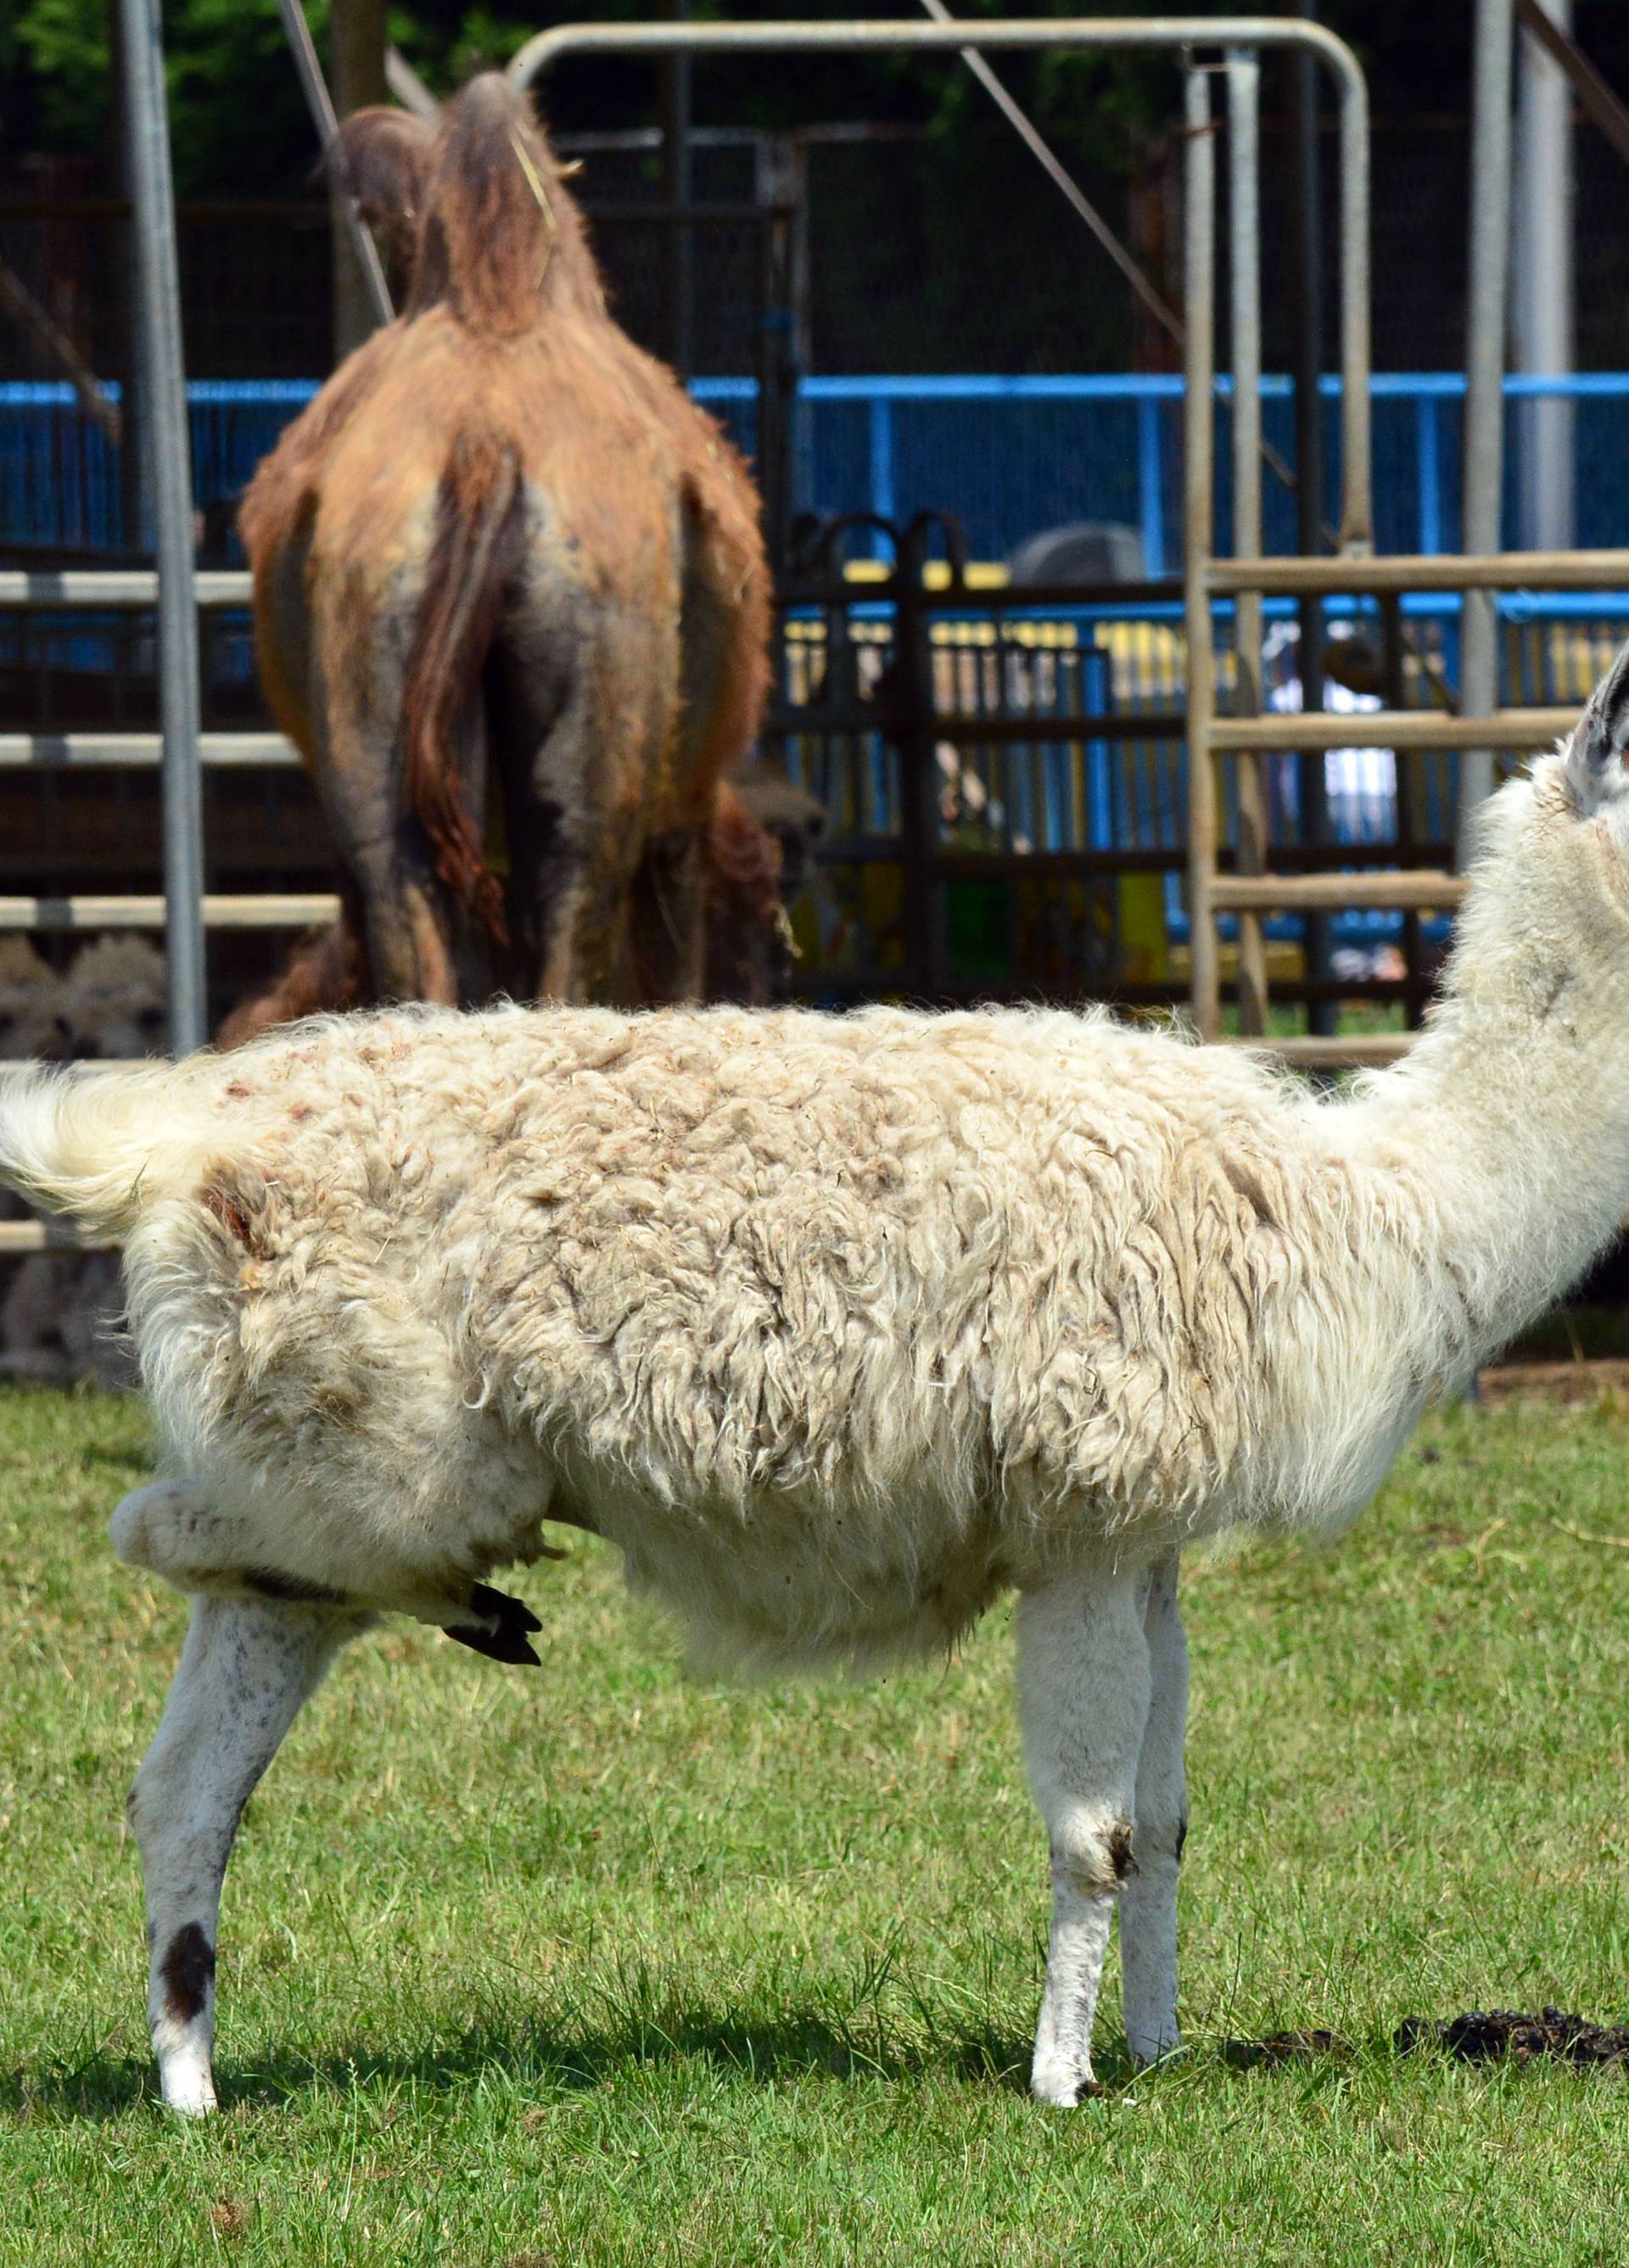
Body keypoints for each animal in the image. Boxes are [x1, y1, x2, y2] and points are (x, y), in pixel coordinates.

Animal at [231, 73, 785, 1020]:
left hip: (374, 699)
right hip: (596, 767)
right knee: (573, 920)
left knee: (411, 926)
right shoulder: (680, 819)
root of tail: (485, 445)